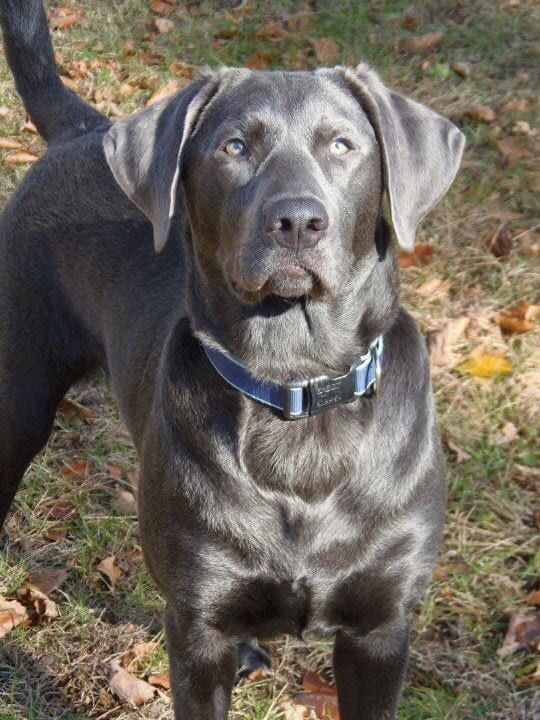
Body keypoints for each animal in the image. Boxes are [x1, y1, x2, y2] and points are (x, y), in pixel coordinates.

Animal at [0, 2, 464, 716]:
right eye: (235, 147)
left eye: (342, 145)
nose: (298, 221)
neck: (295, 386)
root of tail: (82, 132)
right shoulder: (198, 627)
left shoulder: (381, 630)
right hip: (19, 396)